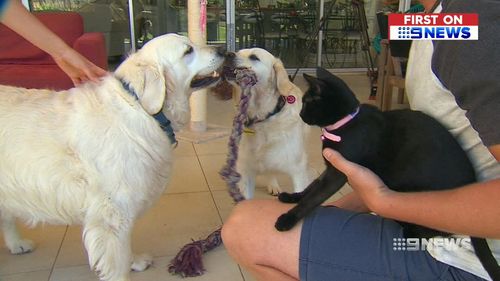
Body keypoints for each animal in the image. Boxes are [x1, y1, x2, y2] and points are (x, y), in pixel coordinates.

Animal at [0, 34, 225, 280]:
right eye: (188, 51)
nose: (223, 50)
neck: (140, 107)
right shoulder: (112, 212)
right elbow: (117, 256)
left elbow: (124, 247)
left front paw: (134, 261)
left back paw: (17, 244)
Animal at [228, 48, 312, 197]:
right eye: (238, 51)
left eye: (254, 57)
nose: (228, 54)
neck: (264, 117)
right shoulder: (246, 170)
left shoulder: (298, 172)